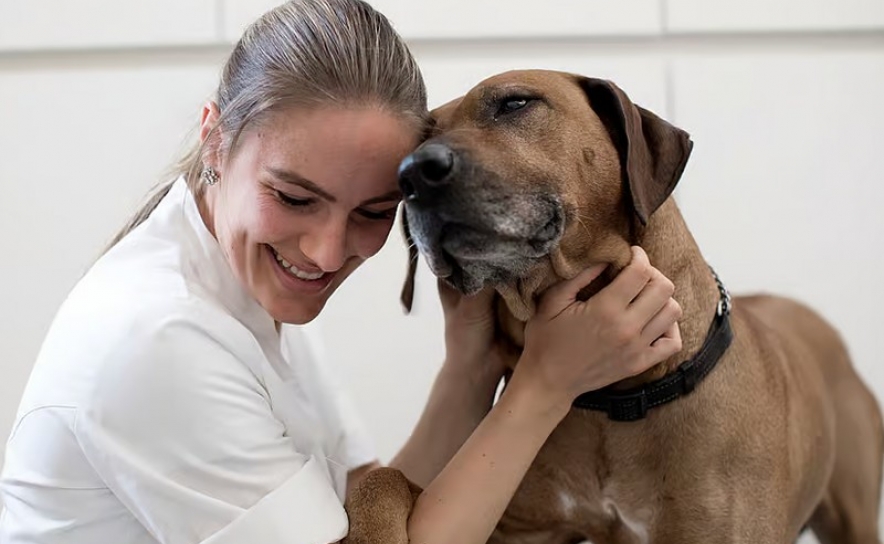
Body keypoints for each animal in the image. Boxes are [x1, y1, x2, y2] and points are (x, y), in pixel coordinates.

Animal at [342, 70, 880, 544]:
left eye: (514, 103)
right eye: (417, 140)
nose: (412, 174)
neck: (616, 400)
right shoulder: (504, 522)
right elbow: (383, 478)